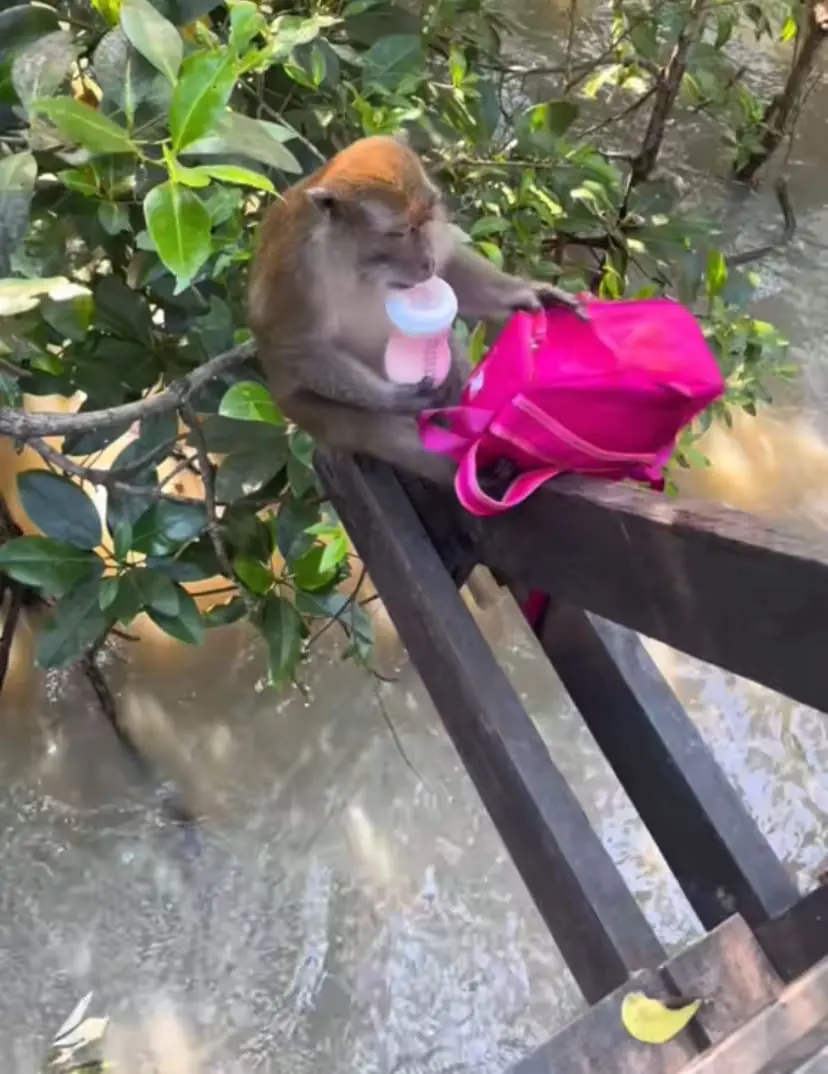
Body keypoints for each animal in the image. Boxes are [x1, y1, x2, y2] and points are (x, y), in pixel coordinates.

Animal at [248, 133, 582, 484]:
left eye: (425, 220)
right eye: (399, 232)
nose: (426, 261)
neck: (357, 260)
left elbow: (450, 270)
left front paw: (528, 293)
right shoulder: (295, 272)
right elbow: (296, 347)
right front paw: (394, 397)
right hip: (301, 409)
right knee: (374, 428)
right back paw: (473, 468)